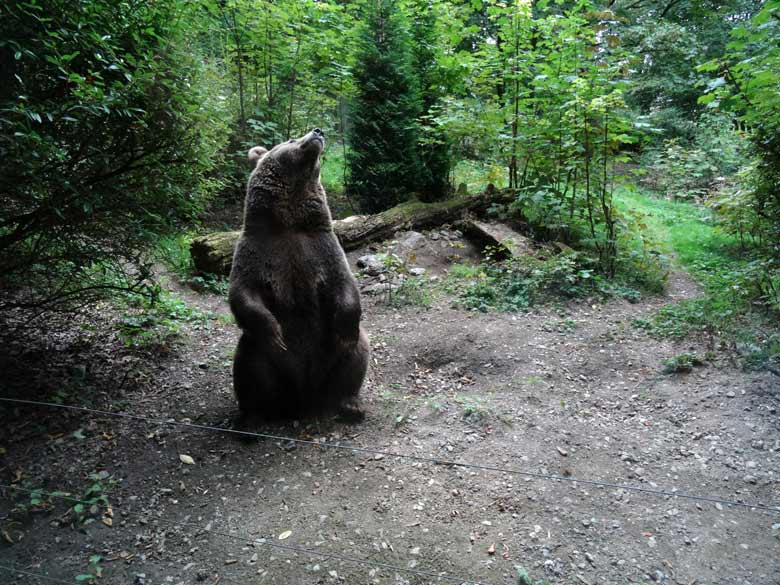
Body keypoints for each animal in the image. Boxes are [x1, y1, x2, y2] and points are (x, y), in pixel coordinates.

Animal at [229, 128, 368, 420]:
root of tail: (304, 397)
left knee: (356, 355)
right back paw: (253, 414)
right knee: (249, 366)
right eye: (291, 140)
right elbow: (243, 293)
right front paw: (274, 333)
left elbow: (345, 284)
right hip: (261, 355)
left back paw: (350, 403)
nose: (318, 131)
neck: (289, 223)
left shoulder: (322, 248)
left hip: (330, 356)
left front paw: (346, 328)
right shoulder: (257, 252)